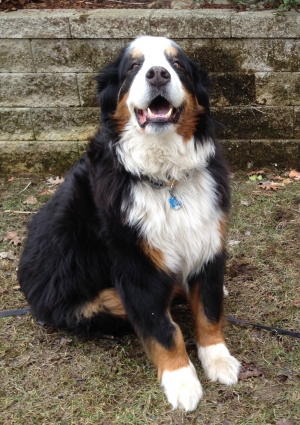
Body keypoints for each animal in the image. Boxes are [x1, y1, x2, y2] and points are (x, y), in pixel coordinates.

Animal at [18, 35, 239, 410]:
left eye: (177, 64)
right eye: (133, 67)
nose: (158, 74)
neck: (166, 180)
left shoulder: (207, 242)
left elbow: (209, 311)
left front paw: (218, 359)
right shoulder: (136, 266)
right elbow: (163, 330)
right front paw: (181, 381)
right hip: (86, 306)